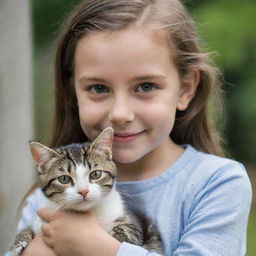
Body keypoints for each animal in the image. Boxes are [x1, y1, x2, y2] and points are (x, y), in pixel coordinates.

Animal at [11, 127, 162, 255]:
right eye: (64, 179)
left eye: (95, 174)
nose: (83, 191)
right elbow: (29, 228)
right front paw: (19, 241)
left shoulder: (134, 222)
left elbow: (128, 232)